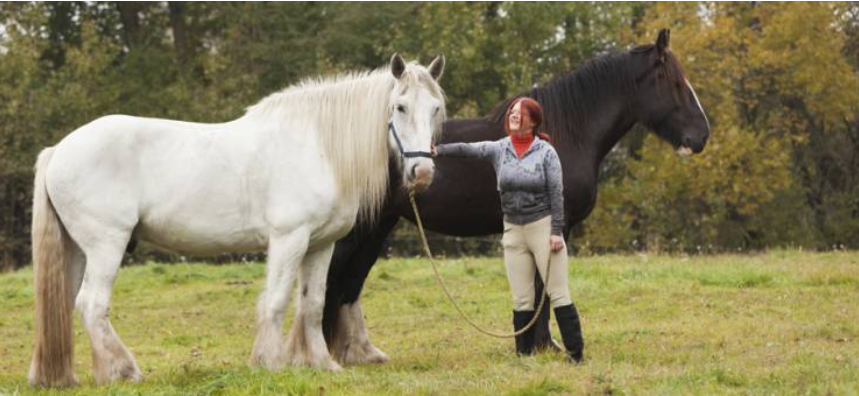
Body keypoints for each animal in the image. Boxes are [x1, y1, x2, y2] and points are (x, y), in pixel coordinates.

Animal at [30, 52, 446, 386]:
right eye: (400, 107)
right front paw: (270, 363)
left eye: (436, 109)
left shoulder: (321, 245)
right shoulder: (289, 239)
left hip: (76, 250)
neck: (318, 146)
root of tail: (58, 150)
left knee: (66, 305)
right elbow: (276, 301)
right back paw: (124, 370)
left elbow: (312, 303)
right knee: (91, 304)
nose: (423, 173)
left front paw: (321, 363)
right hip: (107, 245)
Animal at [322, 29, 712, 364]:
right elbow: (543, 285)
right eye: (676, 83)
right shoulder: (556, 225)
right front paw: (544, 346)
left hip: (377, 227)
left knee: (350, 283)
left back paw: (360, 353)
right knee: (335, 278)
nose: (701, 136)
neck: (568, 132)